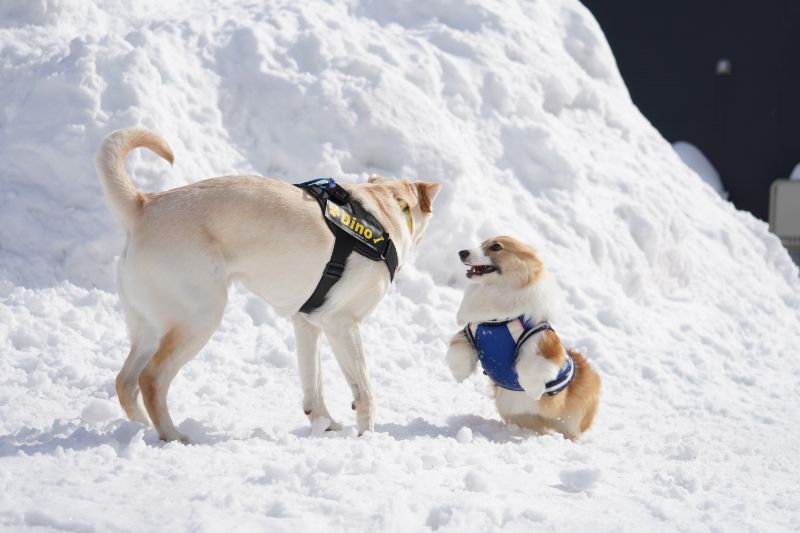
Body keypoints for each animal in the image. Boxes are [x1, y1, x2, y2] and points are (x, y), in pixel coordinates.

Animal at [98, 128, 444, 440]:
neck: (383, 211)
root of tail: (144, 205)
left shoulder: (307, 323)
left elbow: (313, 385)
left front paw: (325, 425)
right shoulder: (342, 324)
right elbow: (365, 391)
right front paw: (367, 436)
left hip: (150, 325)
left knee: (125, 382)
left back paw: (141, 428)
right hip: (199, 318)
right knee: (150, 379)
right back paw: (173, 436)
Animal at [444, 237, 600, 436]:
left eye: (496, 247)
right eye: (481, 244)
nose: (462, 252)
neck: (496, 322)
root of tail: (549, 422)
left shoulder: (542, 342)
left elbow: (529, 367)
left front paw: (533, 391)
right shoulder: (469, 331)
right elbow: (459, 349)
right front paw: (460, 374)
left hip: (576, 415)